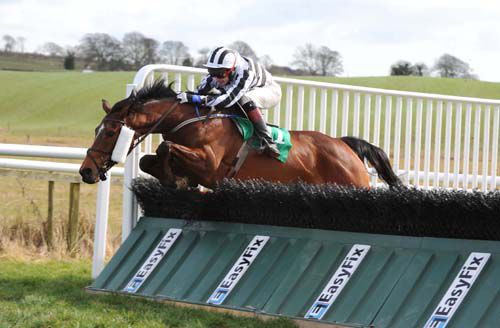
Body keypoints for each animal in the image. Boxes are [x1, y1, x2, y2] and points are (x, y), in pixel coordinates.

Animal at [79, 79, 402, 190]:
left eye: (110, 131)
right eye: (96, 130)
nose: (86, 171)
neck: (193, 120)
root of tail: (344, 146)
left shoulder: (210, 165)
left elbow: (165, 147)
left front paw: (175, 180)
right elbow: (149, 159)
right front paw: (178, 180)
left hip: (353, 185)